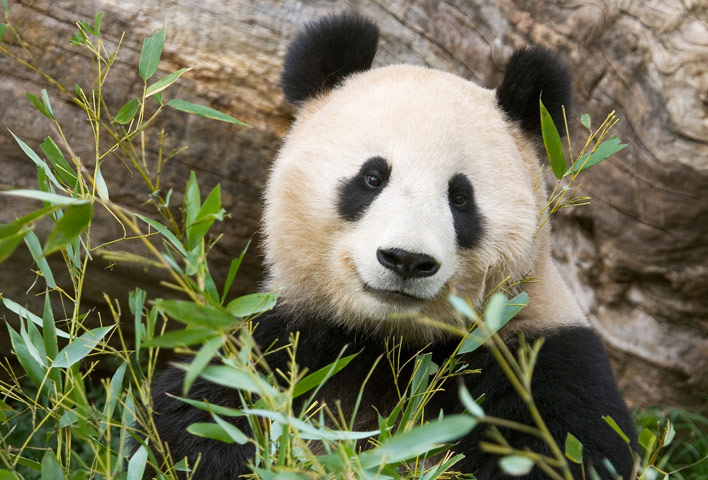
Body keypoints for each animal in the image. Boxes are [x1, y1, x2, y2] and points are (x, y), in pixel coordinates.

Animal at [149, 12, 638, 479]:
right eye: (372, 177)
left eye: (460, 197)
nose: (406, 260)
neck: (393, 342)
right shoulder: (287, 334)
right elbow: (197, 411)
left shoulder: (536, 355)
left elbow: (566, 449)